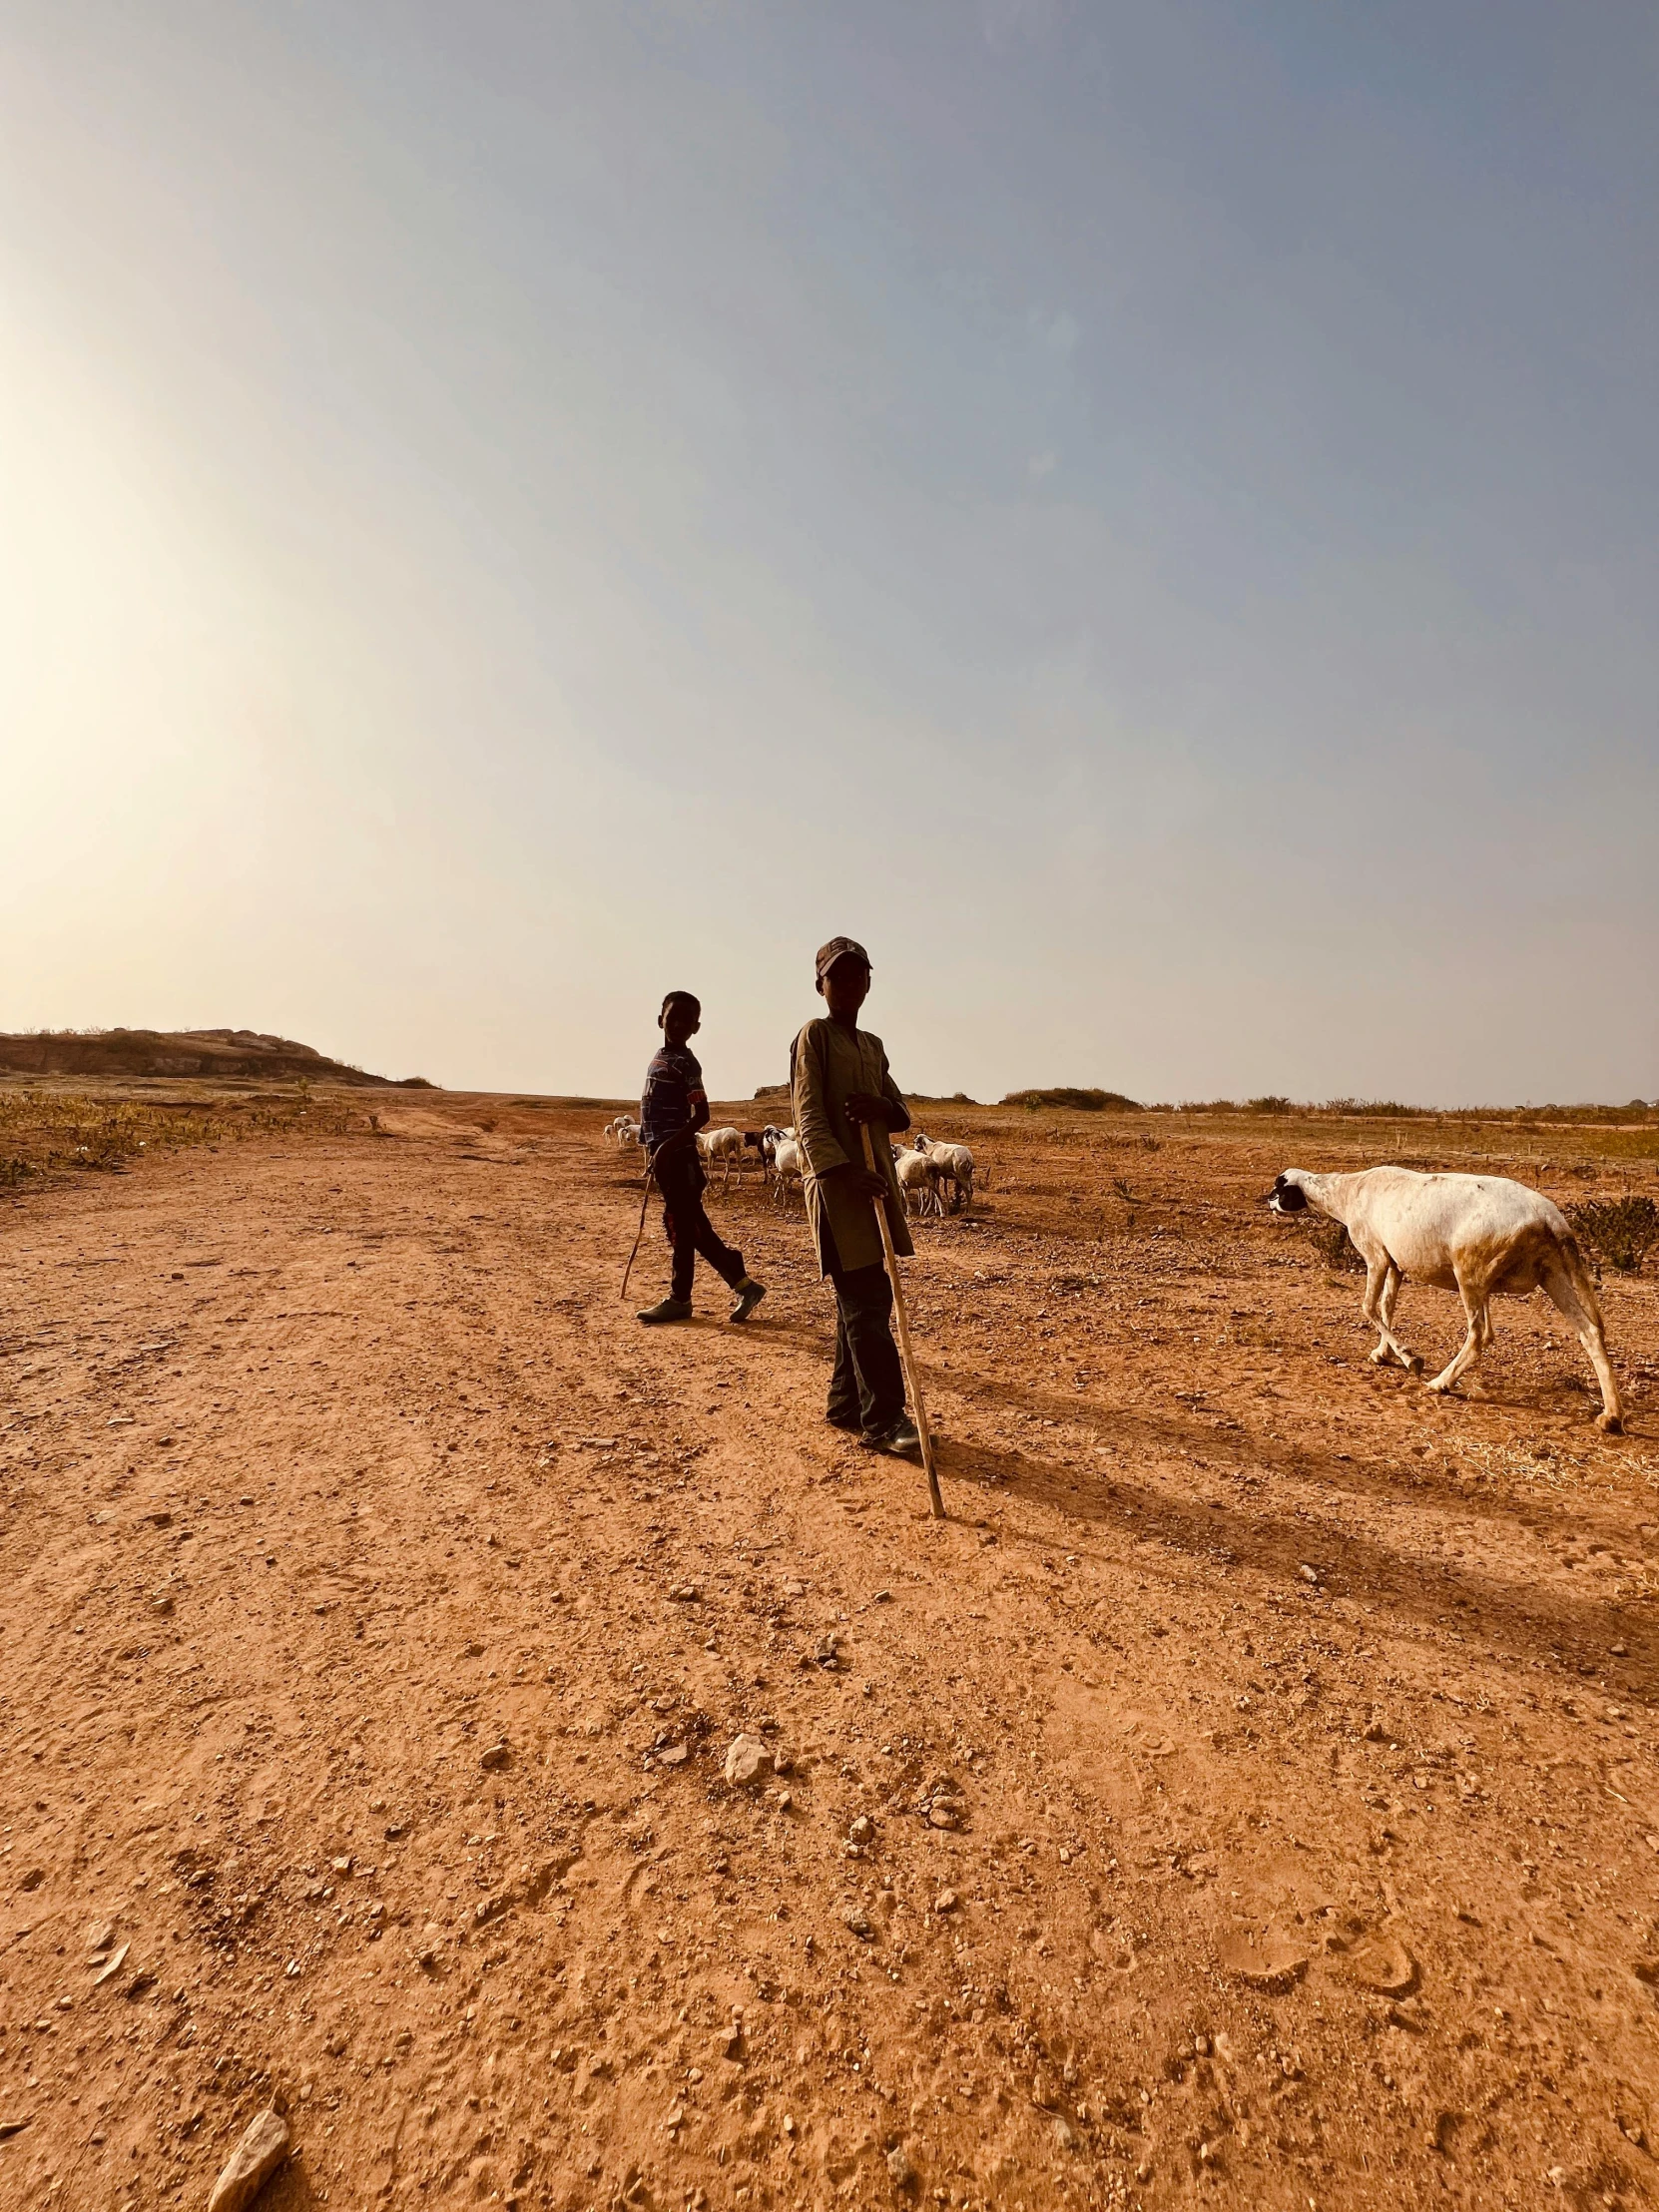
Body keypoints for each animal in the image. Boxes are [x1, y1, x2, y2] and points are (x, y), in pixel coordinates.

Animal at [1274, 1159, 1627, 1432]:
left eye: (1279, 1189)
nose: (1268, 1201)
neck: (1348, 1191)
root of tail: (1549, 1218)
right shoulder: (1397, 1264)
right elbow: (1387, 1306)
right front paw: (1383, 1354)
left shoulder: (1376, 1256)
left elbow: (1369, 1307)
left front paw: (1410, 1358)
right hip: (1550, 1273)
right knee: (1590, 1332)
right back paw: (1611, 1416)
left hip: (1470, 1273)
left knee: (1480, 1334)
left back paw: (1440, 1383)